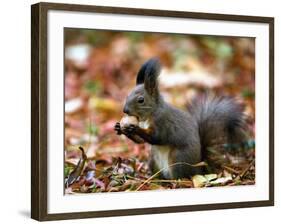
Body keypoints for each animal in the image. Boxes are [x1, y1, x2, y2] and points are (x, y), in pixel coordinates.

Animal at [113, 58, 245, 179]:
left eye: (141, 100)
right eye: (127, 95)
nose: (125, 110)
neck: (149, 115)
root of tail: (199, 168)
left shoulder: (163, 123)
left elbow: (157, 137)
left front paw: (135, 129)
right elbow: (140, 141)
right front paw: (119, 128)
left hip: (177, 158)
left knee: (179, 176)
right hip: (153, 158)